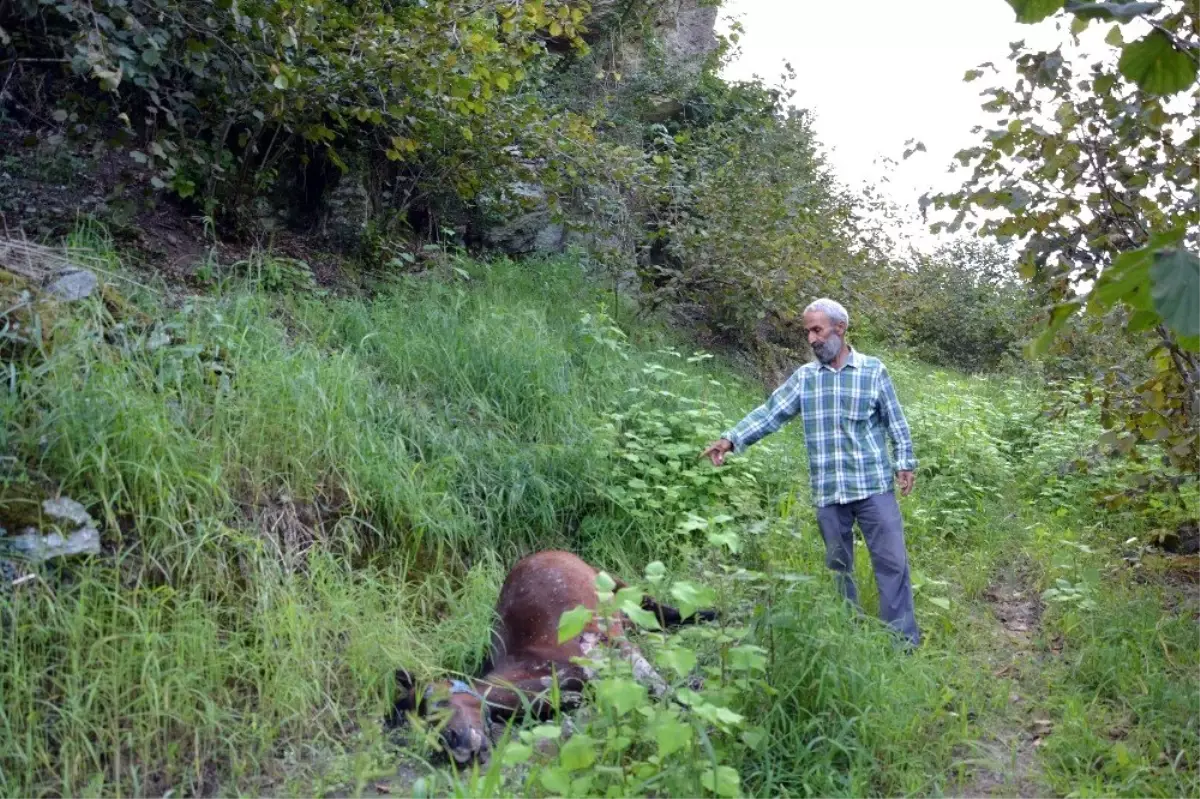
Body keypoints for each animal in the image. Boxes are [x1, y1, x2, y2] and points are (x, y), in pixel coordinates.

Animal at [391, 547, 710, 758]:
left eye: (439, 702)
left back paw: (708, 613)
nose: (455, 746)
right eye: (421, 724)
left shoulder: (603, 644)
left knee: (653, 604)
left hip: (610, 583)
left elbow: (658, 684)